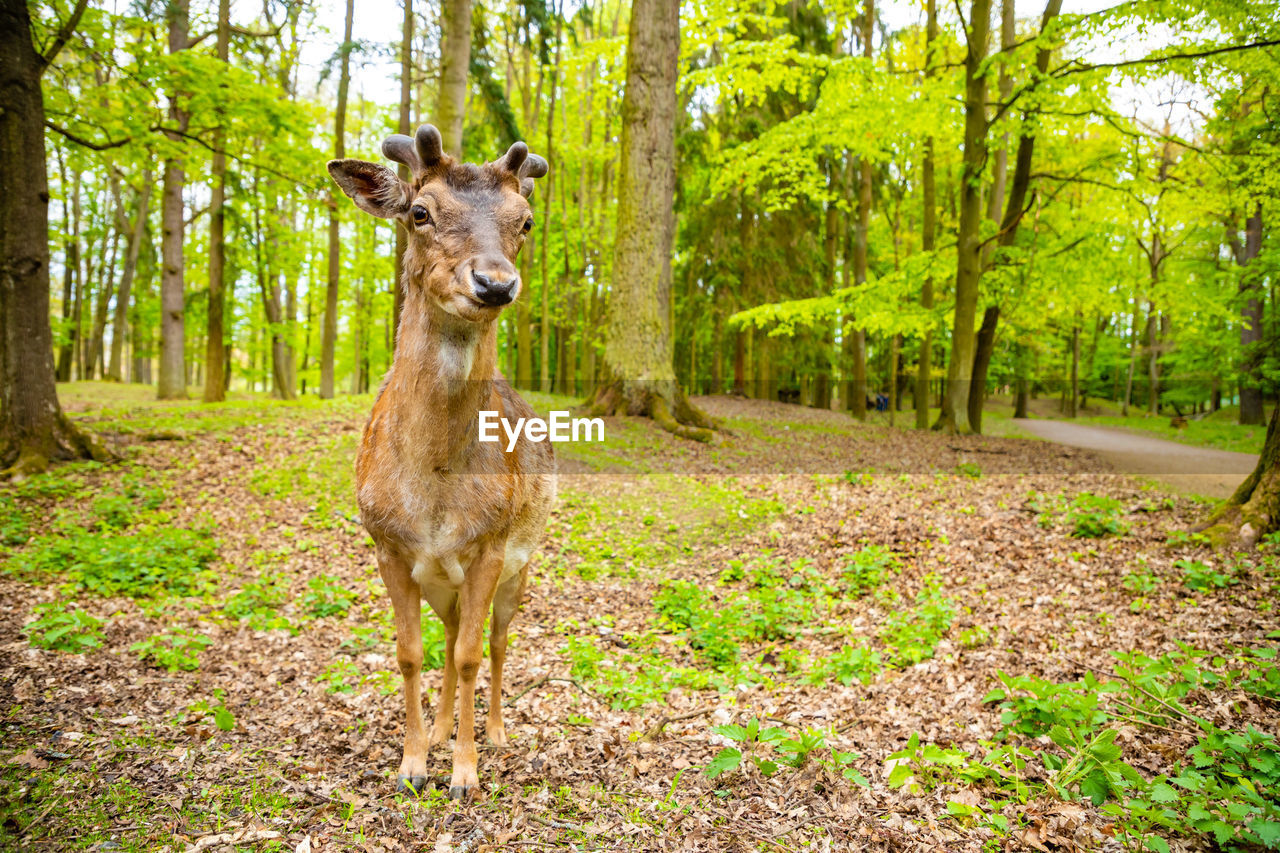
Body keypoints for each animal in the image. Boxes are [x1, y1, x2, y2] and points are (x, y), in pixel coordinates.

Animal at [327, 124, 552, 799]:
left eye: (525, 221)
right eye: (419, 212)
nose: (495, 283)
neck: (433, 490)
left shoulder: (490, 548)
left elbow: (473, 656)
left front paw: (464, 775)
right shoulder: (388, 546)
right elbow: (411, 654)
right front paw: (413, 764)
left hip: (520, 567)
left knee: (495, 643)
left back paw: (495, 734)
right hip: (441, 584)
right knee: (451, 636)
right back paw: (443, 728)